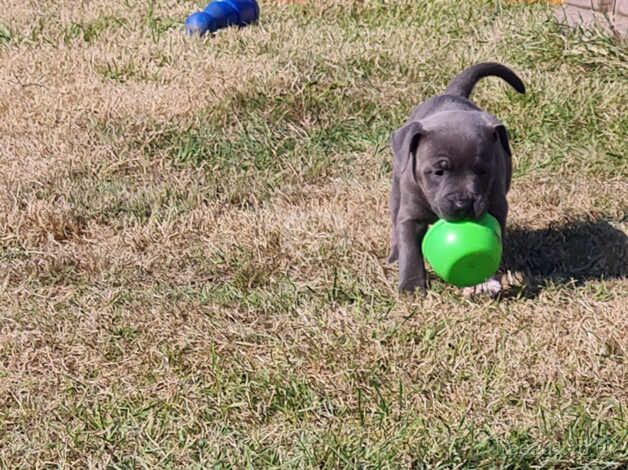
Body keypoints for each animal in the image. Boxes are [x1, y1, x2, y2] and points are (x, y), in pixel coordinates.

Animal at [388, 61, 524, 294]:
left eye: (482, 171)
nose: (463, 203)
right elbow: (410, 250)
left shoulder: (497, 206)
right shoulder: (410, 214)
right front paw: (411, 287)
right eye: (439, 171)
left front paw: (484, 282)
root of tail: (453, 94)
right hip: (397, 188)